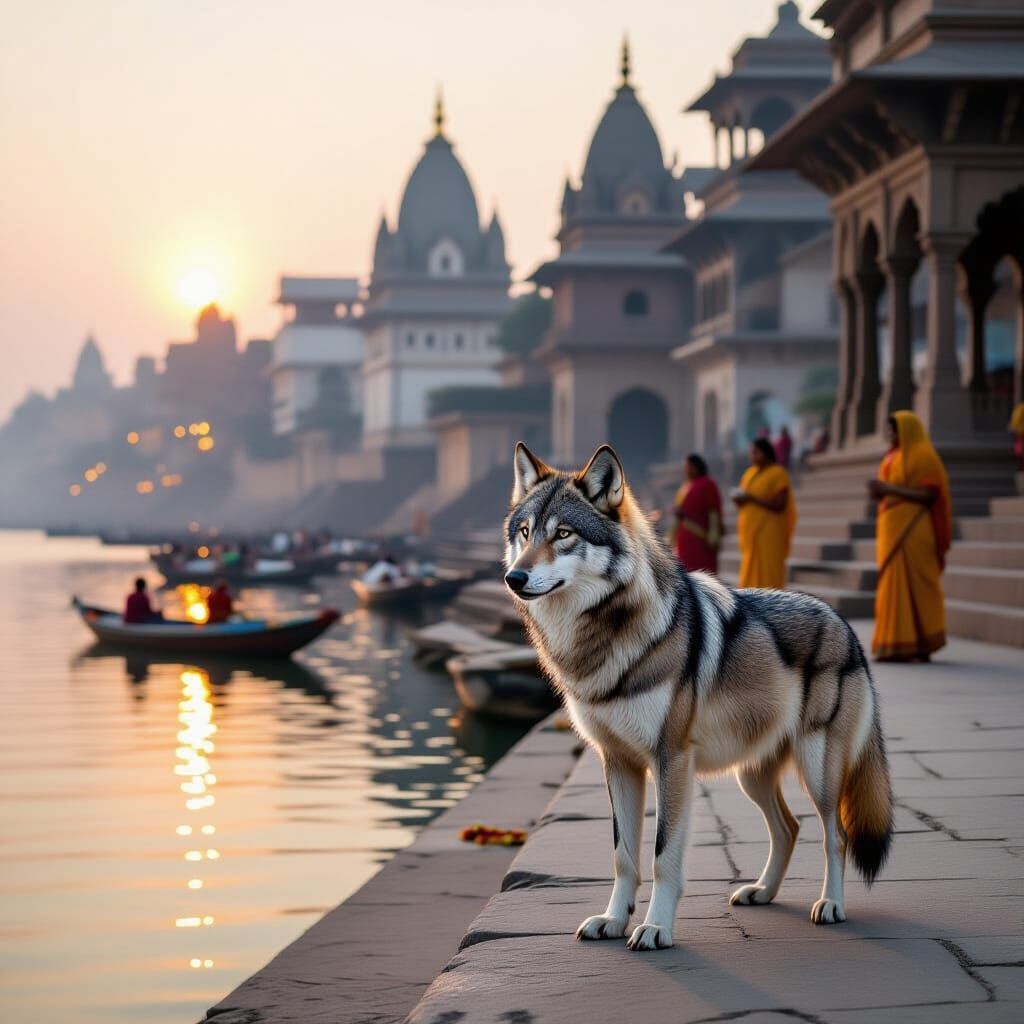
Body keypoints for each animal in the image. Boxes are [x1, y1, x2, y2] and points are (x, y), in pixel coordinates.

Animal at [503, 442, 893, 951]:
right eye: (525, 532)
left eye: (564, 534)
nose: (514, 577)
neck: (603, 638)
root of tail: (845, 625)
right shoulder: (618, 762)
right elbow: (623, 855)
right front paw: (613, 920)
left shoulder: (672, 761)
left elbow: (662, 855)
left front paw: (655, 928)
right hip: (752, 776)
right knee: (789, 828)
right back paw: (762, 892)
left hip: (818, 772)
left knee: (836, 834)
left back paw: (831, 905)